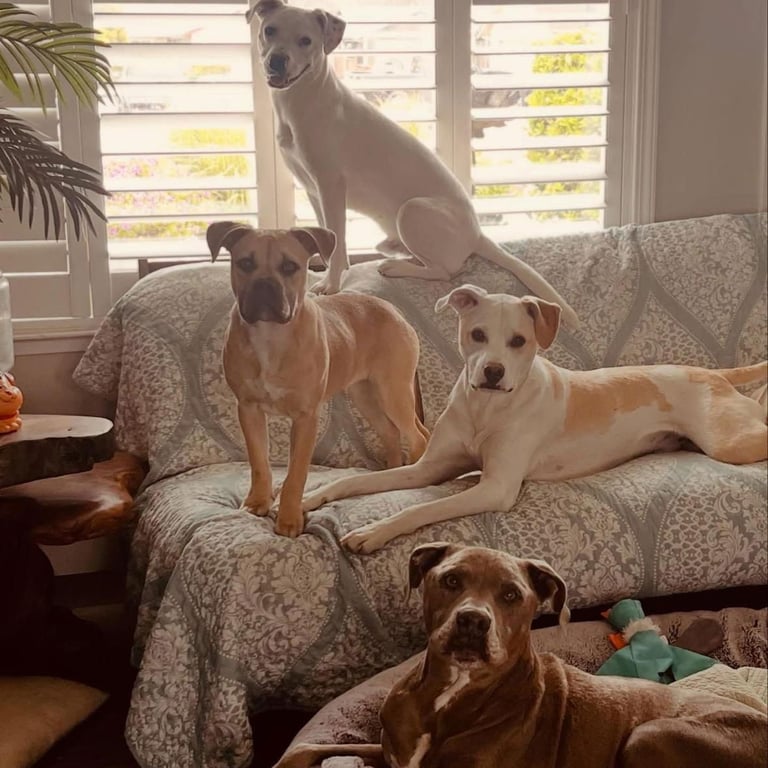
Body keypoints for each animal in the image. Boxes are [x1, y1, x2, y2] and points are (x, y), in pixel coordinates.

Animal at [207, 222, 428, 537]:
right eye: (245, 263)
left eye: (290, 266)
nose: (264, 285)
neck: (271, 337)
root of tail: (394, 309)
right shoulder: (249, 410)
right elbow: (259, 462)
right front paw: (258, 501)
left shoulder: (305, 418)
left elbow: (296, 473)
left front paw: (289, 519)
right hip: (364, 394)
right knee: (391, 432)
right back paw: (389, 473)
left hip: (392, 391)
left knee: (418, 436)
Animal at [245, 0, 580, 329]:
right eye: (270, 30)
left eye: (306, 41)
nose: (277, 60)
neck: (302, 101)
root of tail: (476, 233)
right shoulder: (313, 189)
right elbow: (328, 232)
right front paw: (320, 260)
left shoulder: (330, 186)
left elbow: (337, 239)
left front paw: (332, 283)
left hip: (413, 210)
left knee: (446, 271)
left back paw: (396, 267)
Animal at [275, 543, 768, 768]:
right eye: (451, 580)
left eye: (512, 595)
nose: (473, 621)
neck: (450, 696)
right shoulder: (392, 749)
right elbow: (312, 747)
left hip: (650, 735)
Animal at [301, 284, 768, 553]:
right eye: (477, 335)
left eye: (519, 341)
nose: (492, 372)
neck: (486, 409)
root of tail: (713, 374)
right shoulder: (428, 468)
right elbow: (356, 482)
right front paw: (309, 498)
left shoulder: (496, 487)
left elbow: (420, 510)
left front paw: (373, 532)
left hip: (730, 441)